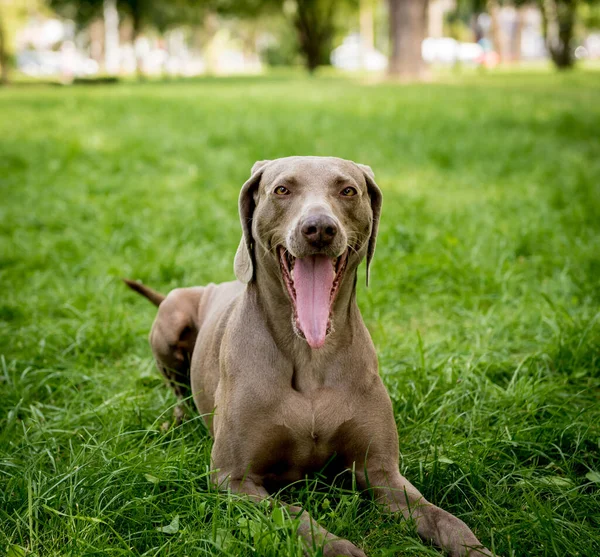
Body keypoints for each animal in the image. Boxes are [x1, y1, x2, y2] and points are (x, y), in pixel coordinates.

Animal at [123, 154, 492, 552]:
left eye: (348, 190)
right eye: (282, 189)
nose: (319, 229)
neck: (310, 356)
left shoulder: (381, 471)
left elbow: (445, 519)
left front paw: (476, 549)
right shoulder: (233, 478)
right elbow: (295, 517)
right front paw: (340, 548)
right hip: (172, 316)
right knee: (178, 393)